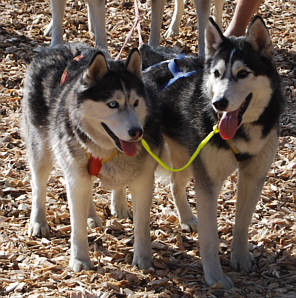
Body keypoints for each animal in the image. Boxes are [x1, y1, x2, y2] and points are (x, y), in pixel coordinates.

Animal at [141, 16, 284, 288]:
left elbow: (243, 223)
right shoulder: (208, 183)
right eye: (216, 74)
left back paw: (186, 218)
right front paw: (215, 278)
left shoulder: (253, 176)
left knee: (175, 183)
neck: (241, 133)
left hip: (186, 157)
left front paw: (240, 258)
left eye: (242, 73)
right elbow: (210, 238)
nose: (219, 103)